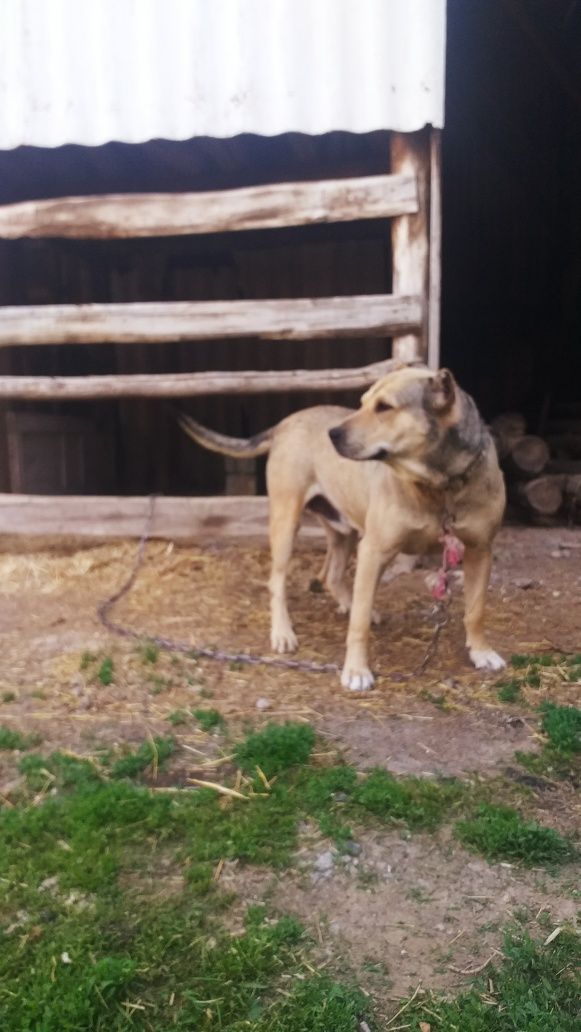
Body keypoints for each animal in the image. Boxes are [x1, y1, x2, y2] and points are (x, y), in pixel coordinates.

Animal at [179, 367, 507, 689]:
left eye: (384, 407)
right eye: (362, 402)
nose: (332, 434)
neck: (440, 485)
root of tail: (285, 422)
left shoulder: (480, 549)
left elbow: (476, 610)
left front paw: (481, 651)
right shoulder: (374, 550)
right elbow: (358, 625)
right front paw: (356, 670)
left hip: (344, 530)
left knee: (332, 576)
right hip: (287, 522)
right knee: (277, 582)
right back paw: (283, 632)